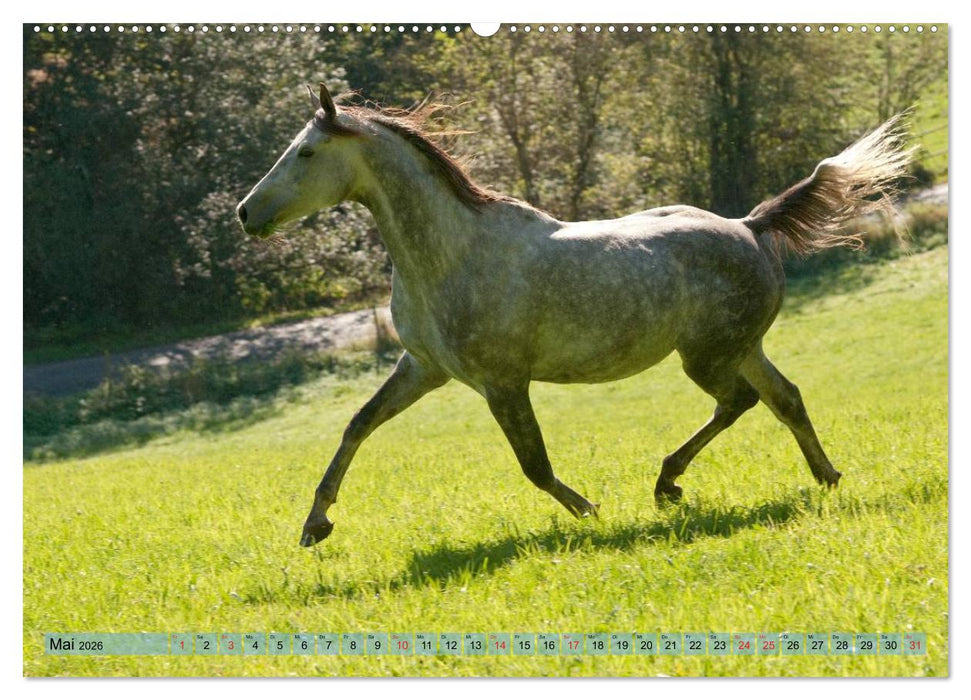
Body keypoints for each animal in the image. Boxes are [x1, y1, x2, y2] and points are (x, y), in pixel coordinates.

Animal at [236, 83, 911, 547]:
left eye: (307, 152)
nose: (245, 213)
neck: (451, 253)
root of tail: (750, 224)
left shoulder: (502, 382)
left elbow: (534, 466)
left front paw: (590, 511)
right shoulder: (423, 367)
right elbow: (357, 425)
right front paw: (314, 525)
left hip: (707, 355)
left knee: (739, 402)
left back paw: (668, 484)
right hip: (742, 347)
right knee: (785, 398)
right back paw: (827, 477)